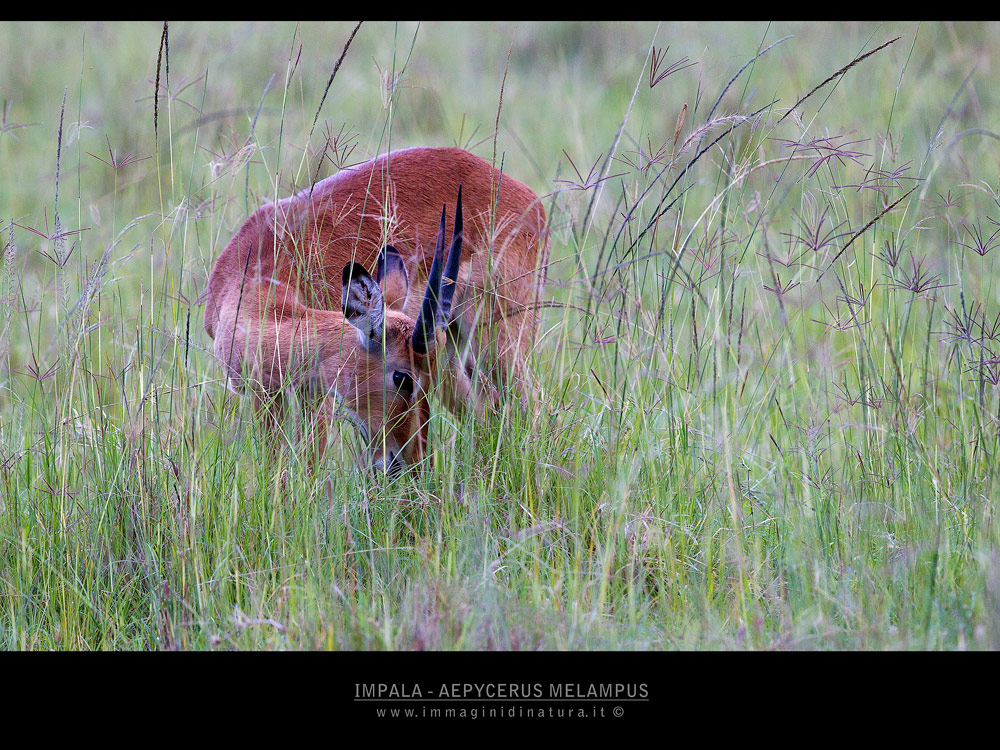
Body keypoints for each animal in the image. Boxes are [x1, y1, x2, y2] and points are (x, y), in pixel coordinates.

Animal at [202, 147, 547, 474]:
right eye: (402, 378)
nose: (410, 461)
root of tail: (530, 199)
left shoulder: (315, 399)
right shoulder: (266, 395)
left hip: (499, 341)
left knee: (532, 407)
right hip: (454, 356)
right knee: (486, 412)